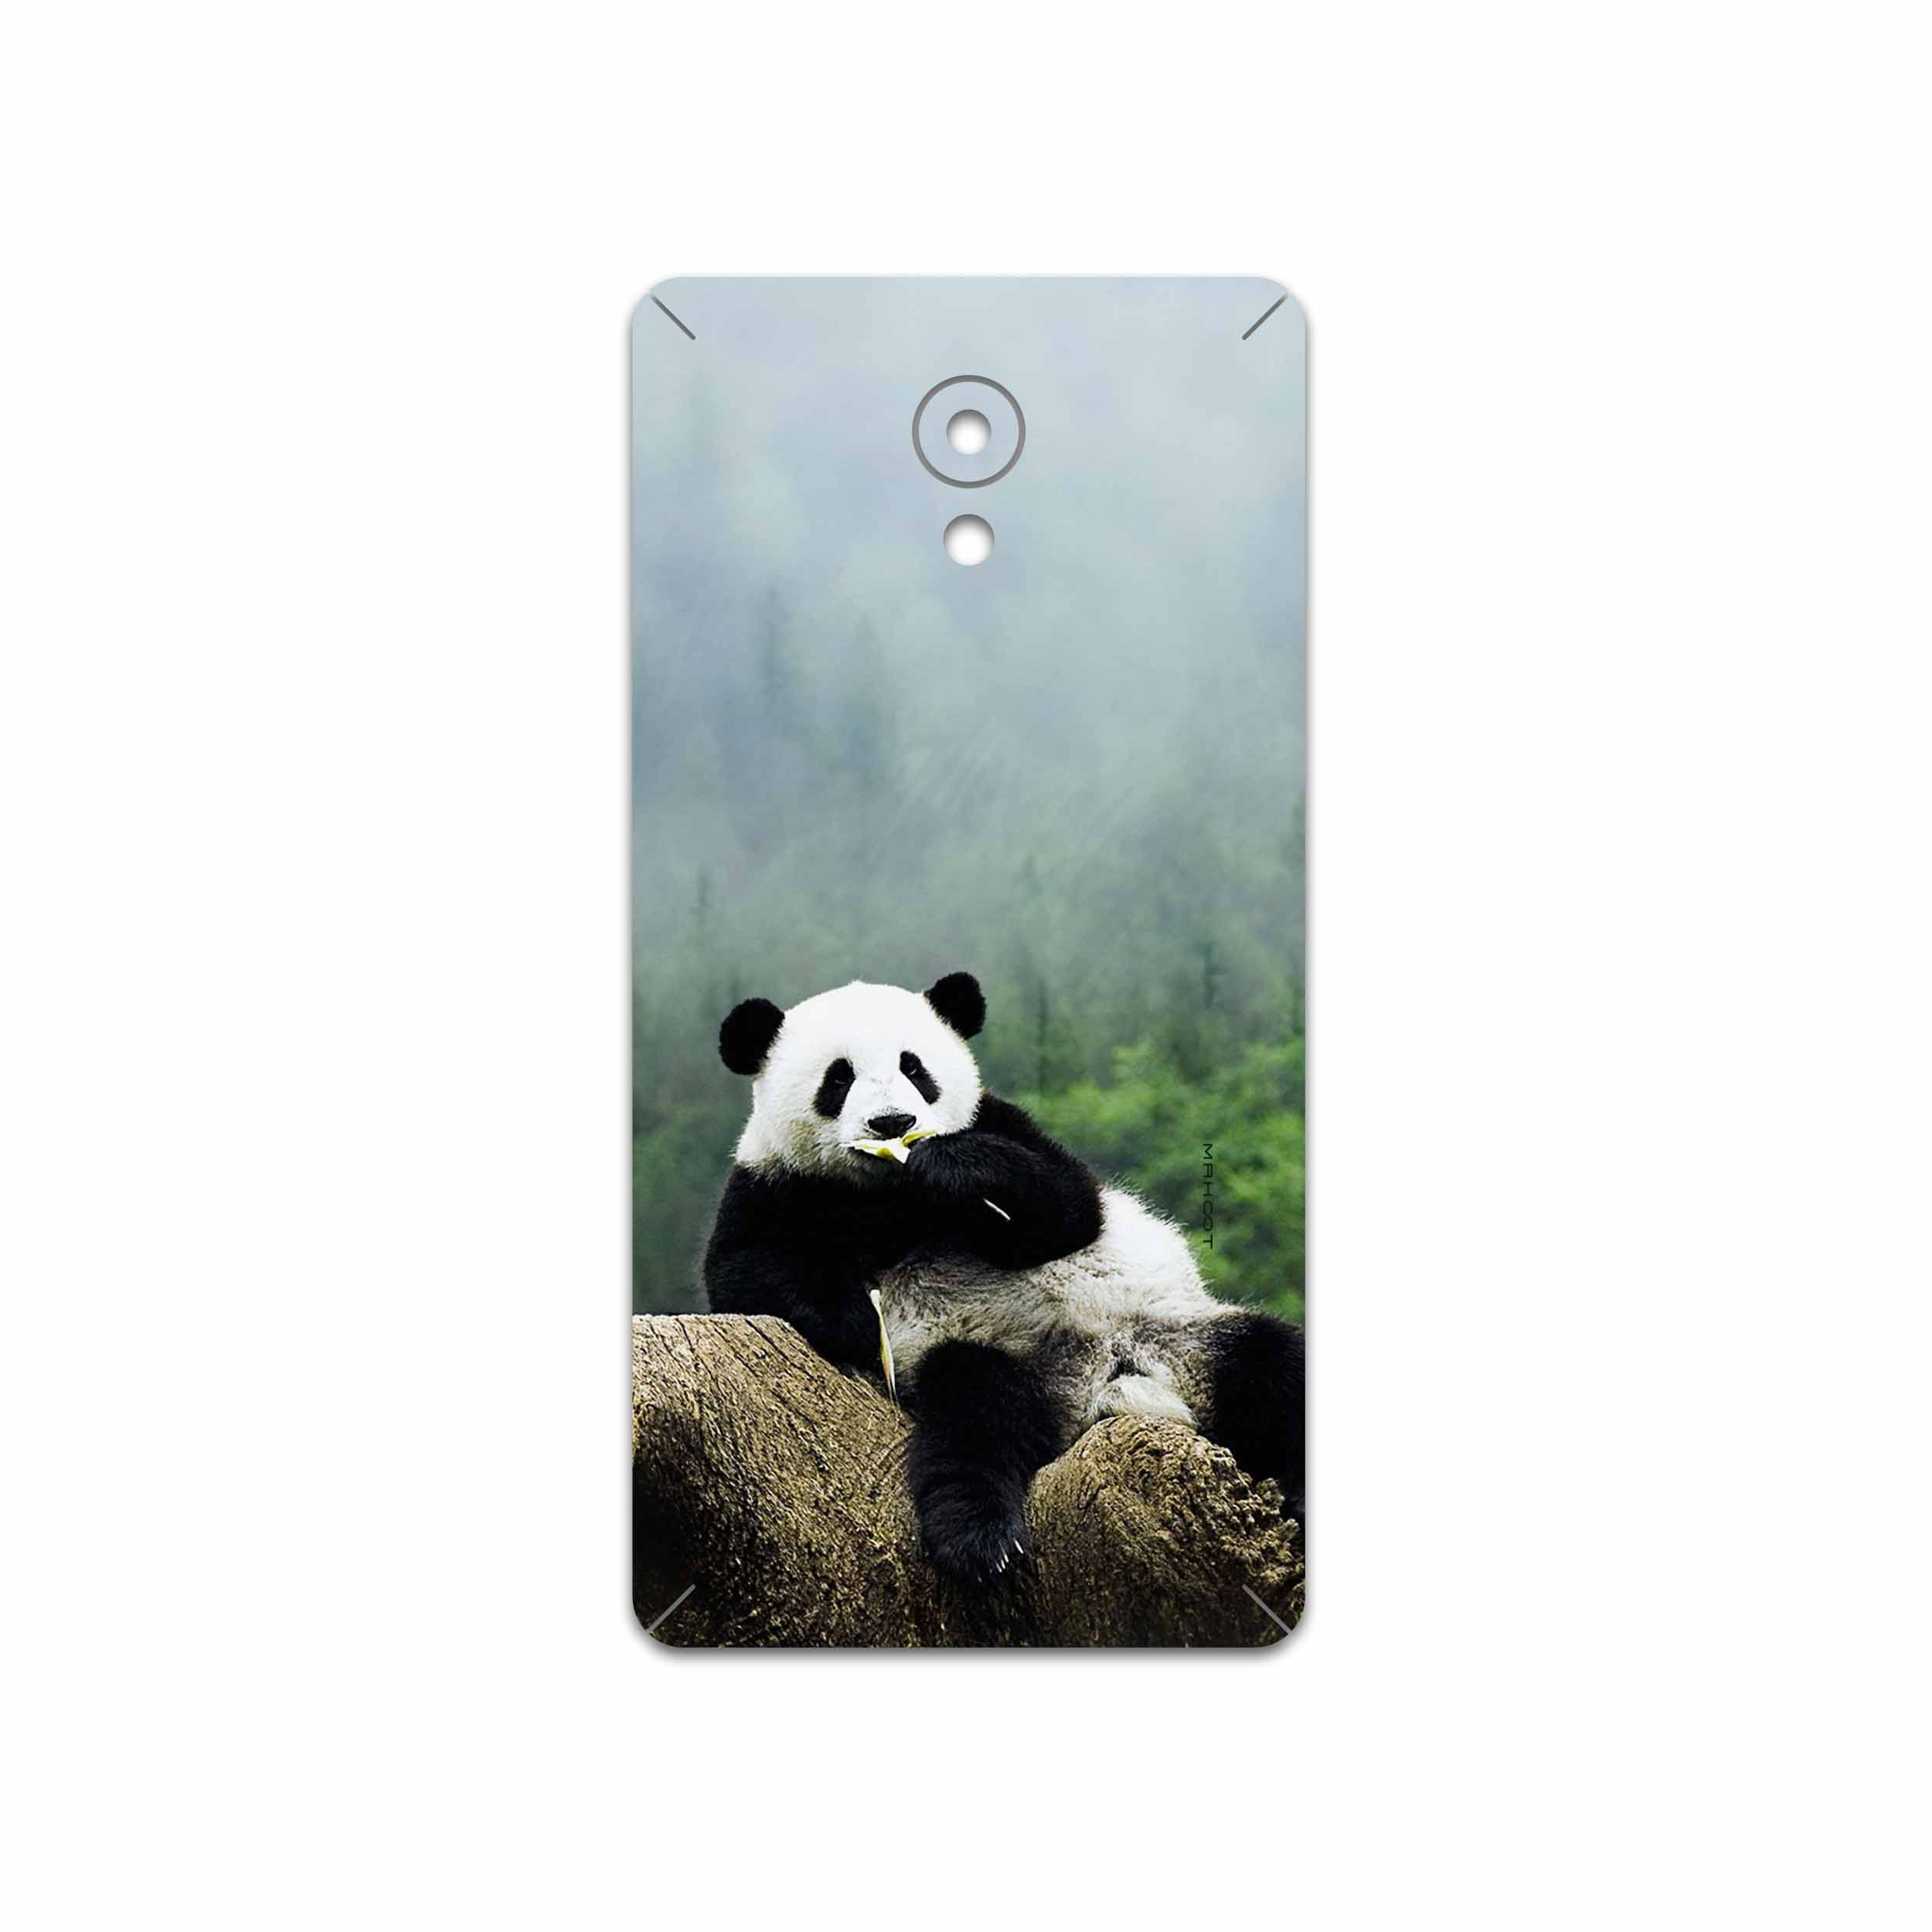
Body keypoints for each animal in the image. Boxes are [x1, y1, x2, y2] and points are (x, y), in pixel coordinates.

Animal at [703, 971, 1304, 1583]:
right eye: (839, 1077)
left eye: (914, 1069)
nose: (893, 1123)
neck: (889, 1195)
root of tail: (1104, 1385)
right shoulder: (774, 1183)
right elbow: (744, 1269)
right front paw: (855, 1320)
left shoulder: (1000, 1122)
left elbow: (1068, 1207)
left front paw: (951, 1169)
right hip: (993, 1356)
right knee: (974, 1419)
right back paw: (980, 1540)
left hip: (1179, 1333)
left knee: (1272, 1364)